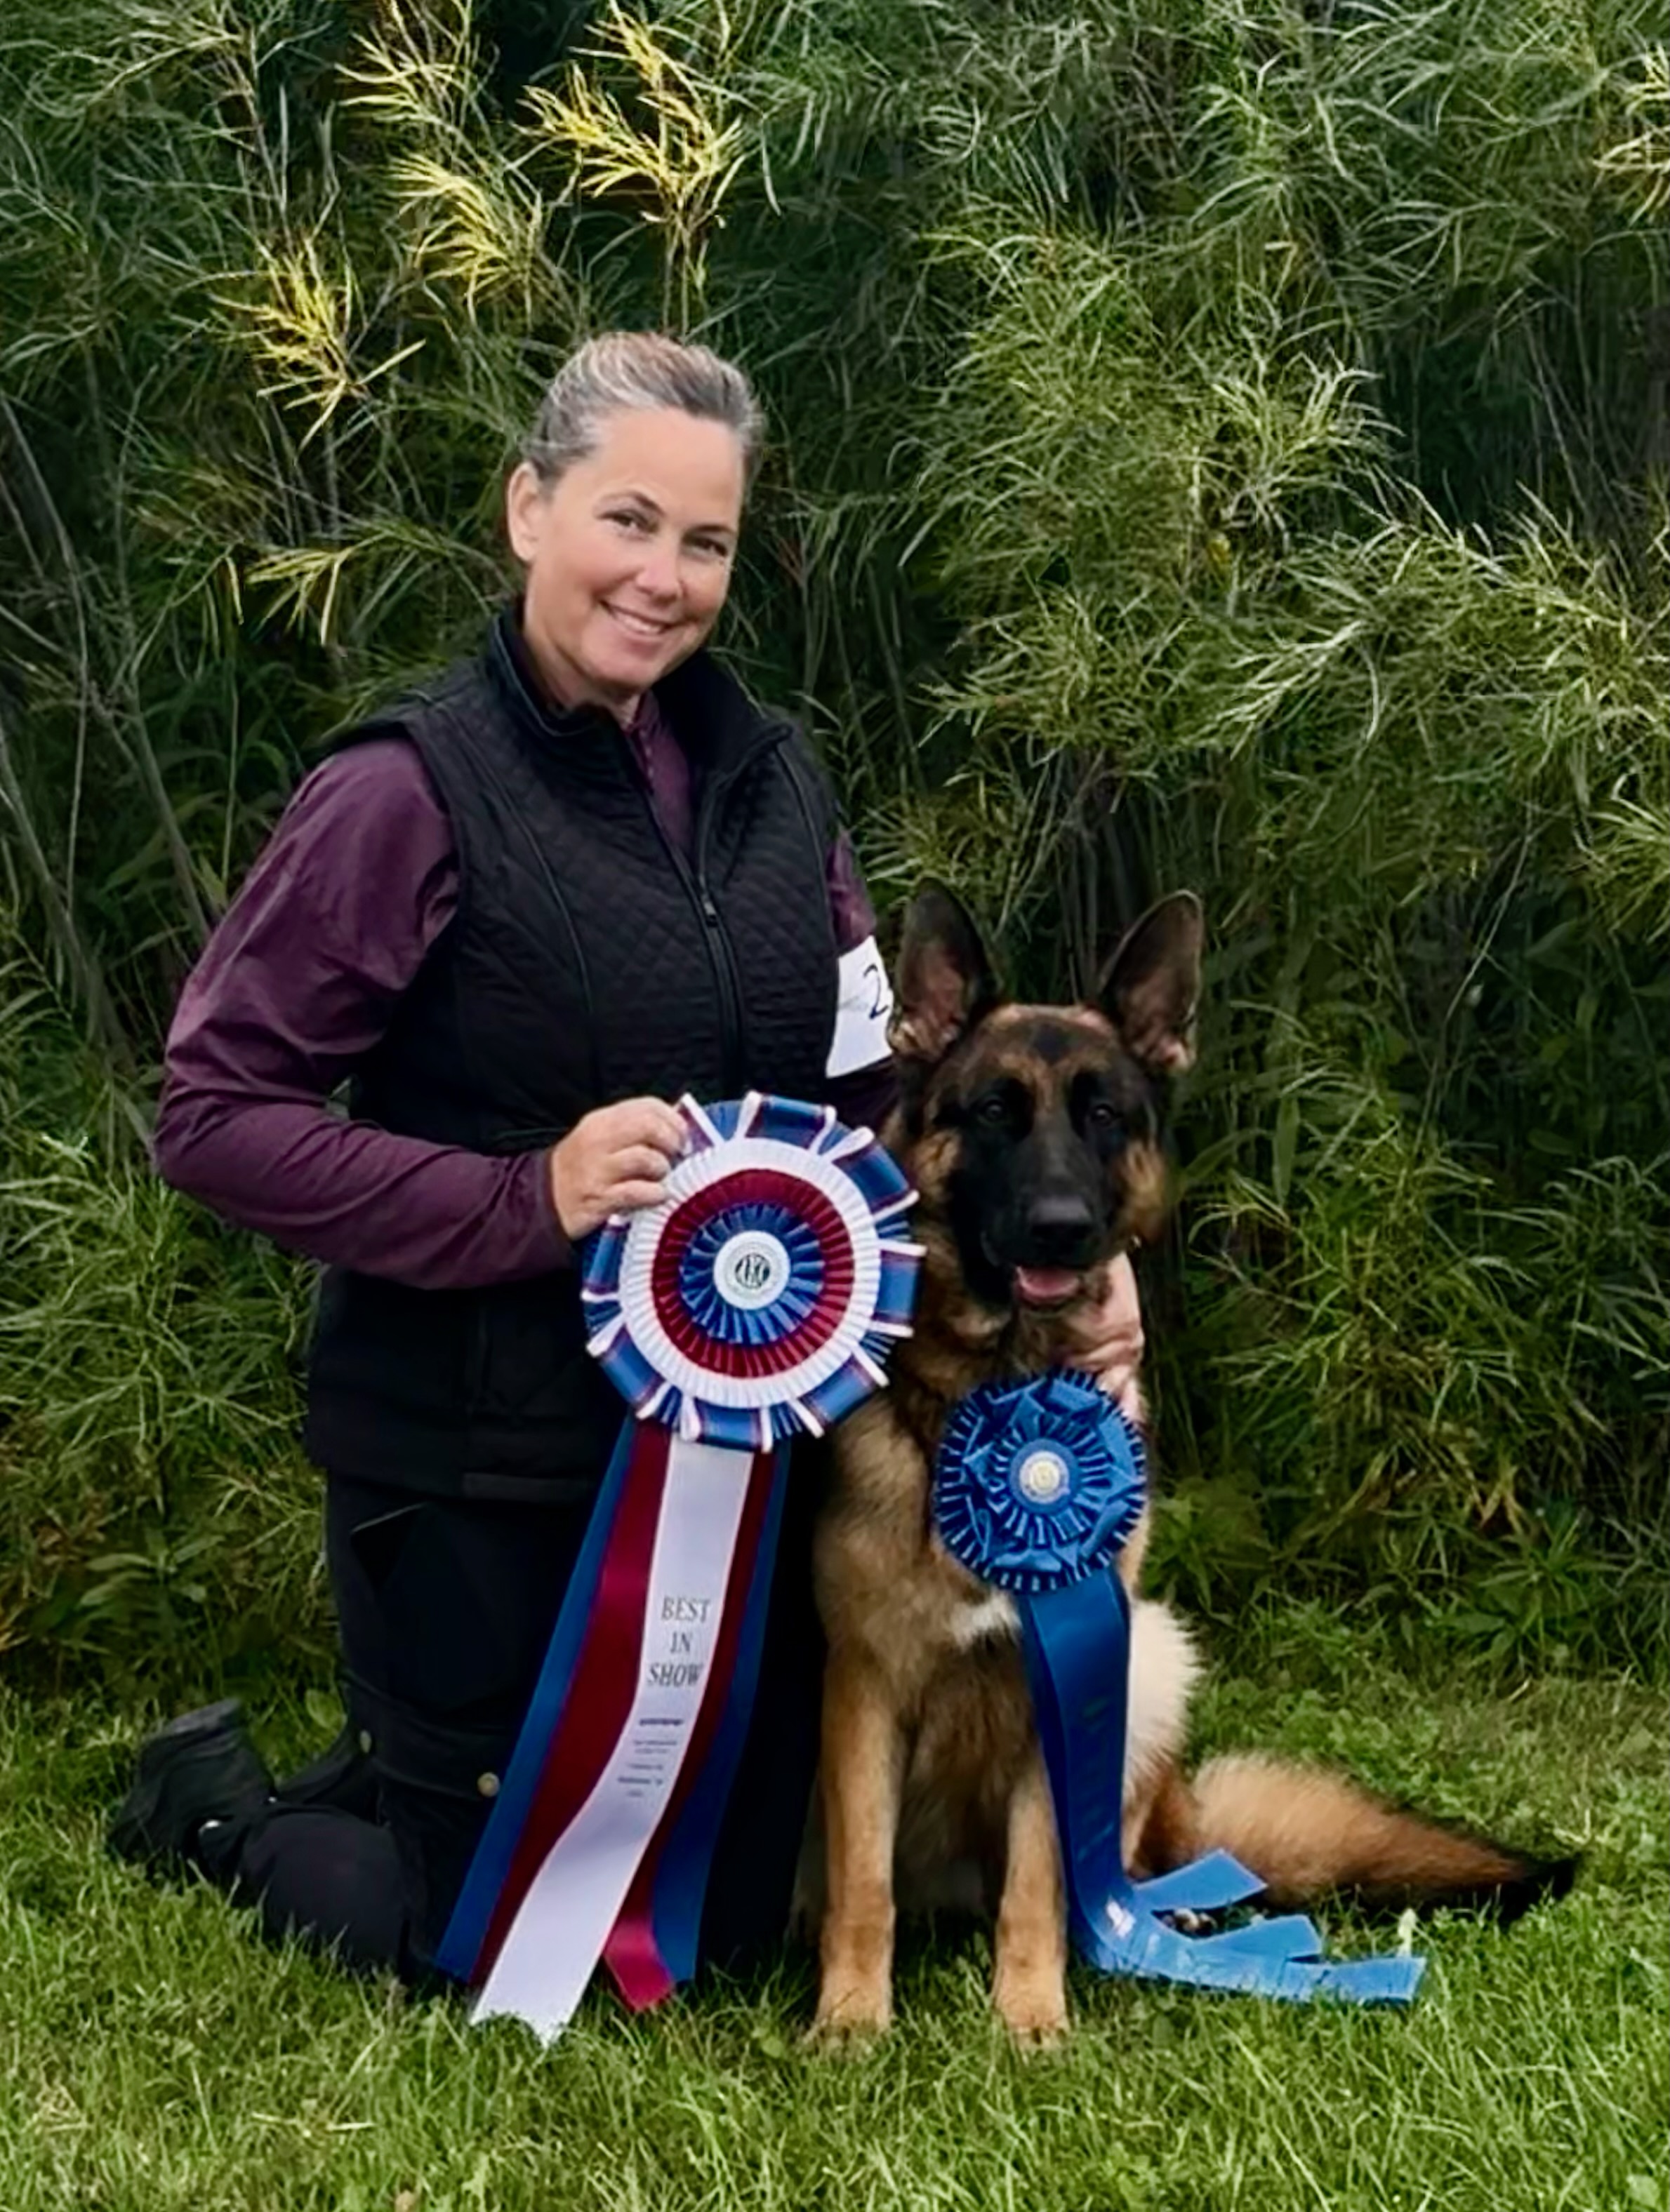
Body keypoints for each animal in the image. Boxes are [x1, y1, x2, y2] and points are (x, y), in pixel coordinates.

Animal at [808, 884, 1574, 2045]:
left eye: (1102, 1115)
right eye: (992, 1111)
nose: (1062, 1227)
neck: (1003, 1393)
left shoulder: (1068, 1689)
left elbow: (1038, 1880)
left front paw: (1029, 2019)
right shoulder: (862, 1692)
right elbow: (862, 1883)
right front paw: (850, 2020)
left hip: (1153, 1660)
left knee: (1127, 1869)